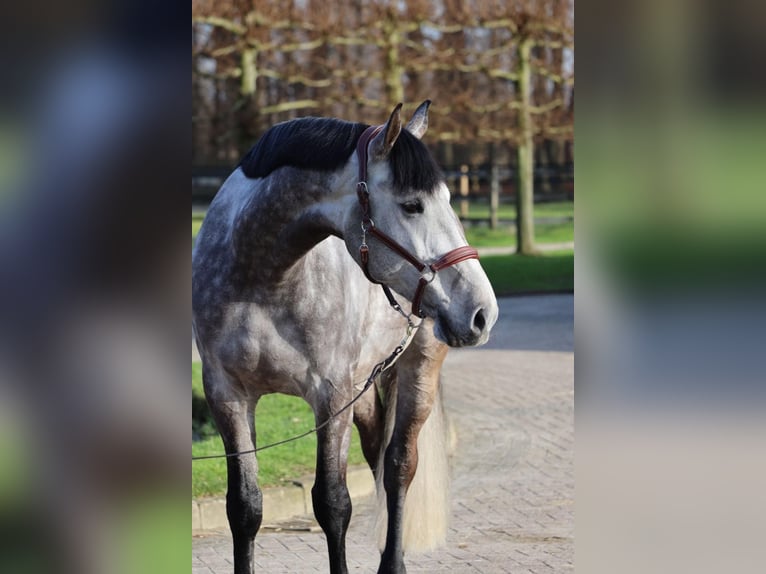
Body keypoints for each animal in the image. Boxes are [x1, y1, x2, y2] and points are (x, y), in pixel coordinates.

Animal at [192, 101, 499, 574]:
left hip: (419, 369)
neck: (261, 279)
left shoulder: (330, 396)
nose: (483, 312)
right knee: (376, 455)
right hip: (365, 385)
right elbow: (244, 507)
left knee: (399, 465)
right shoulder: (227, 395)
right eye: (412, 205)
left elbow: (333, 505)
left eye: (448, 202)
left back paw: (393, 562)